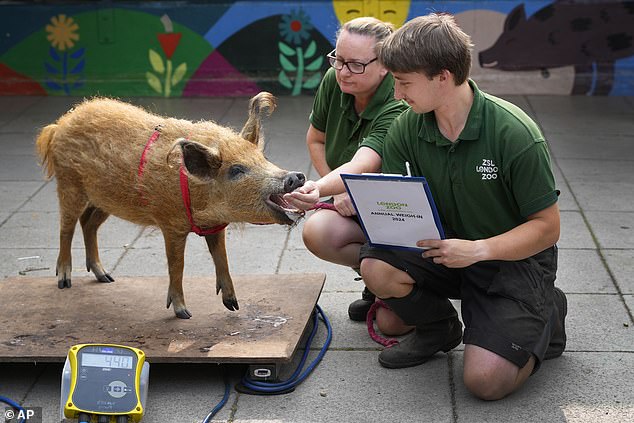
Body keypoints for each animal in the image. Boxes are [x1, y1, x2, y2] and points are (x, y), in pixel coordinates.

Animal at [35, 93, 306, 318]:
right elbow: (177, 265)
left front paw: (233, 305)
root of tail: (59, 125)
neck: (202, 199)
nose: (296, 176)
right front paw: (184, 313)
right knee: (66, 227)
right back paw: (64, 281)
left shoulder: (215, 225)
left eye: (263, 157)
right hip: (68, 184)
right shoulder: (171, 224)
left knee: (88, 223)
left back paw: (106, 278)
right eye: (237, 170)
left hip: (105, 200)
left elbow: (222, 258)